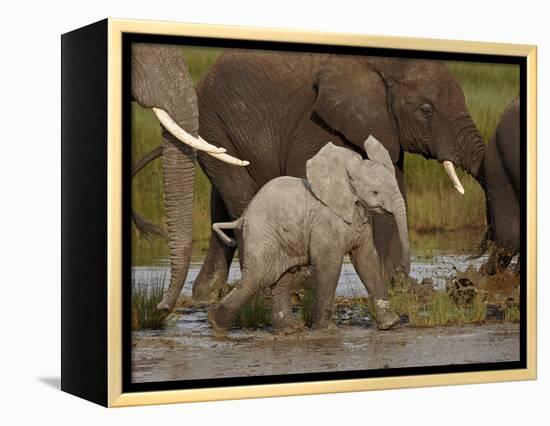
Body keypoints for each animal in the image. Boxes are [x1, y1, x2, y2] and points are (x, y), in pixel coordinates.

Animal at [191, 50, 488, 302]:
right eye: (426, 111)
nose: (472, 268)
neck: (381, 64)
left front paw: (395, 286)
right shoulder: (316, 123)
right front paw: (306, 287)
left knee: (221, 202)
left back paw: (205, 294)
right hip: (213, 122)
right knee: (241, 196)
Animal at [207, 136, 410, 332]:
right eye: (375, 192)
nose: (402, 272)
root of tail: (244, 215)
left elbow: (367, 261)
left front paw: (390, 324)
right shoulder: (325, 223)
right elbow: (329, 265)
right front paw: (326, 330)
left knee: (282, 279)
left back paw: (288, 330)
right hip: (262, 236)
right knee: (257, 278)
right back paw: (216, 323)